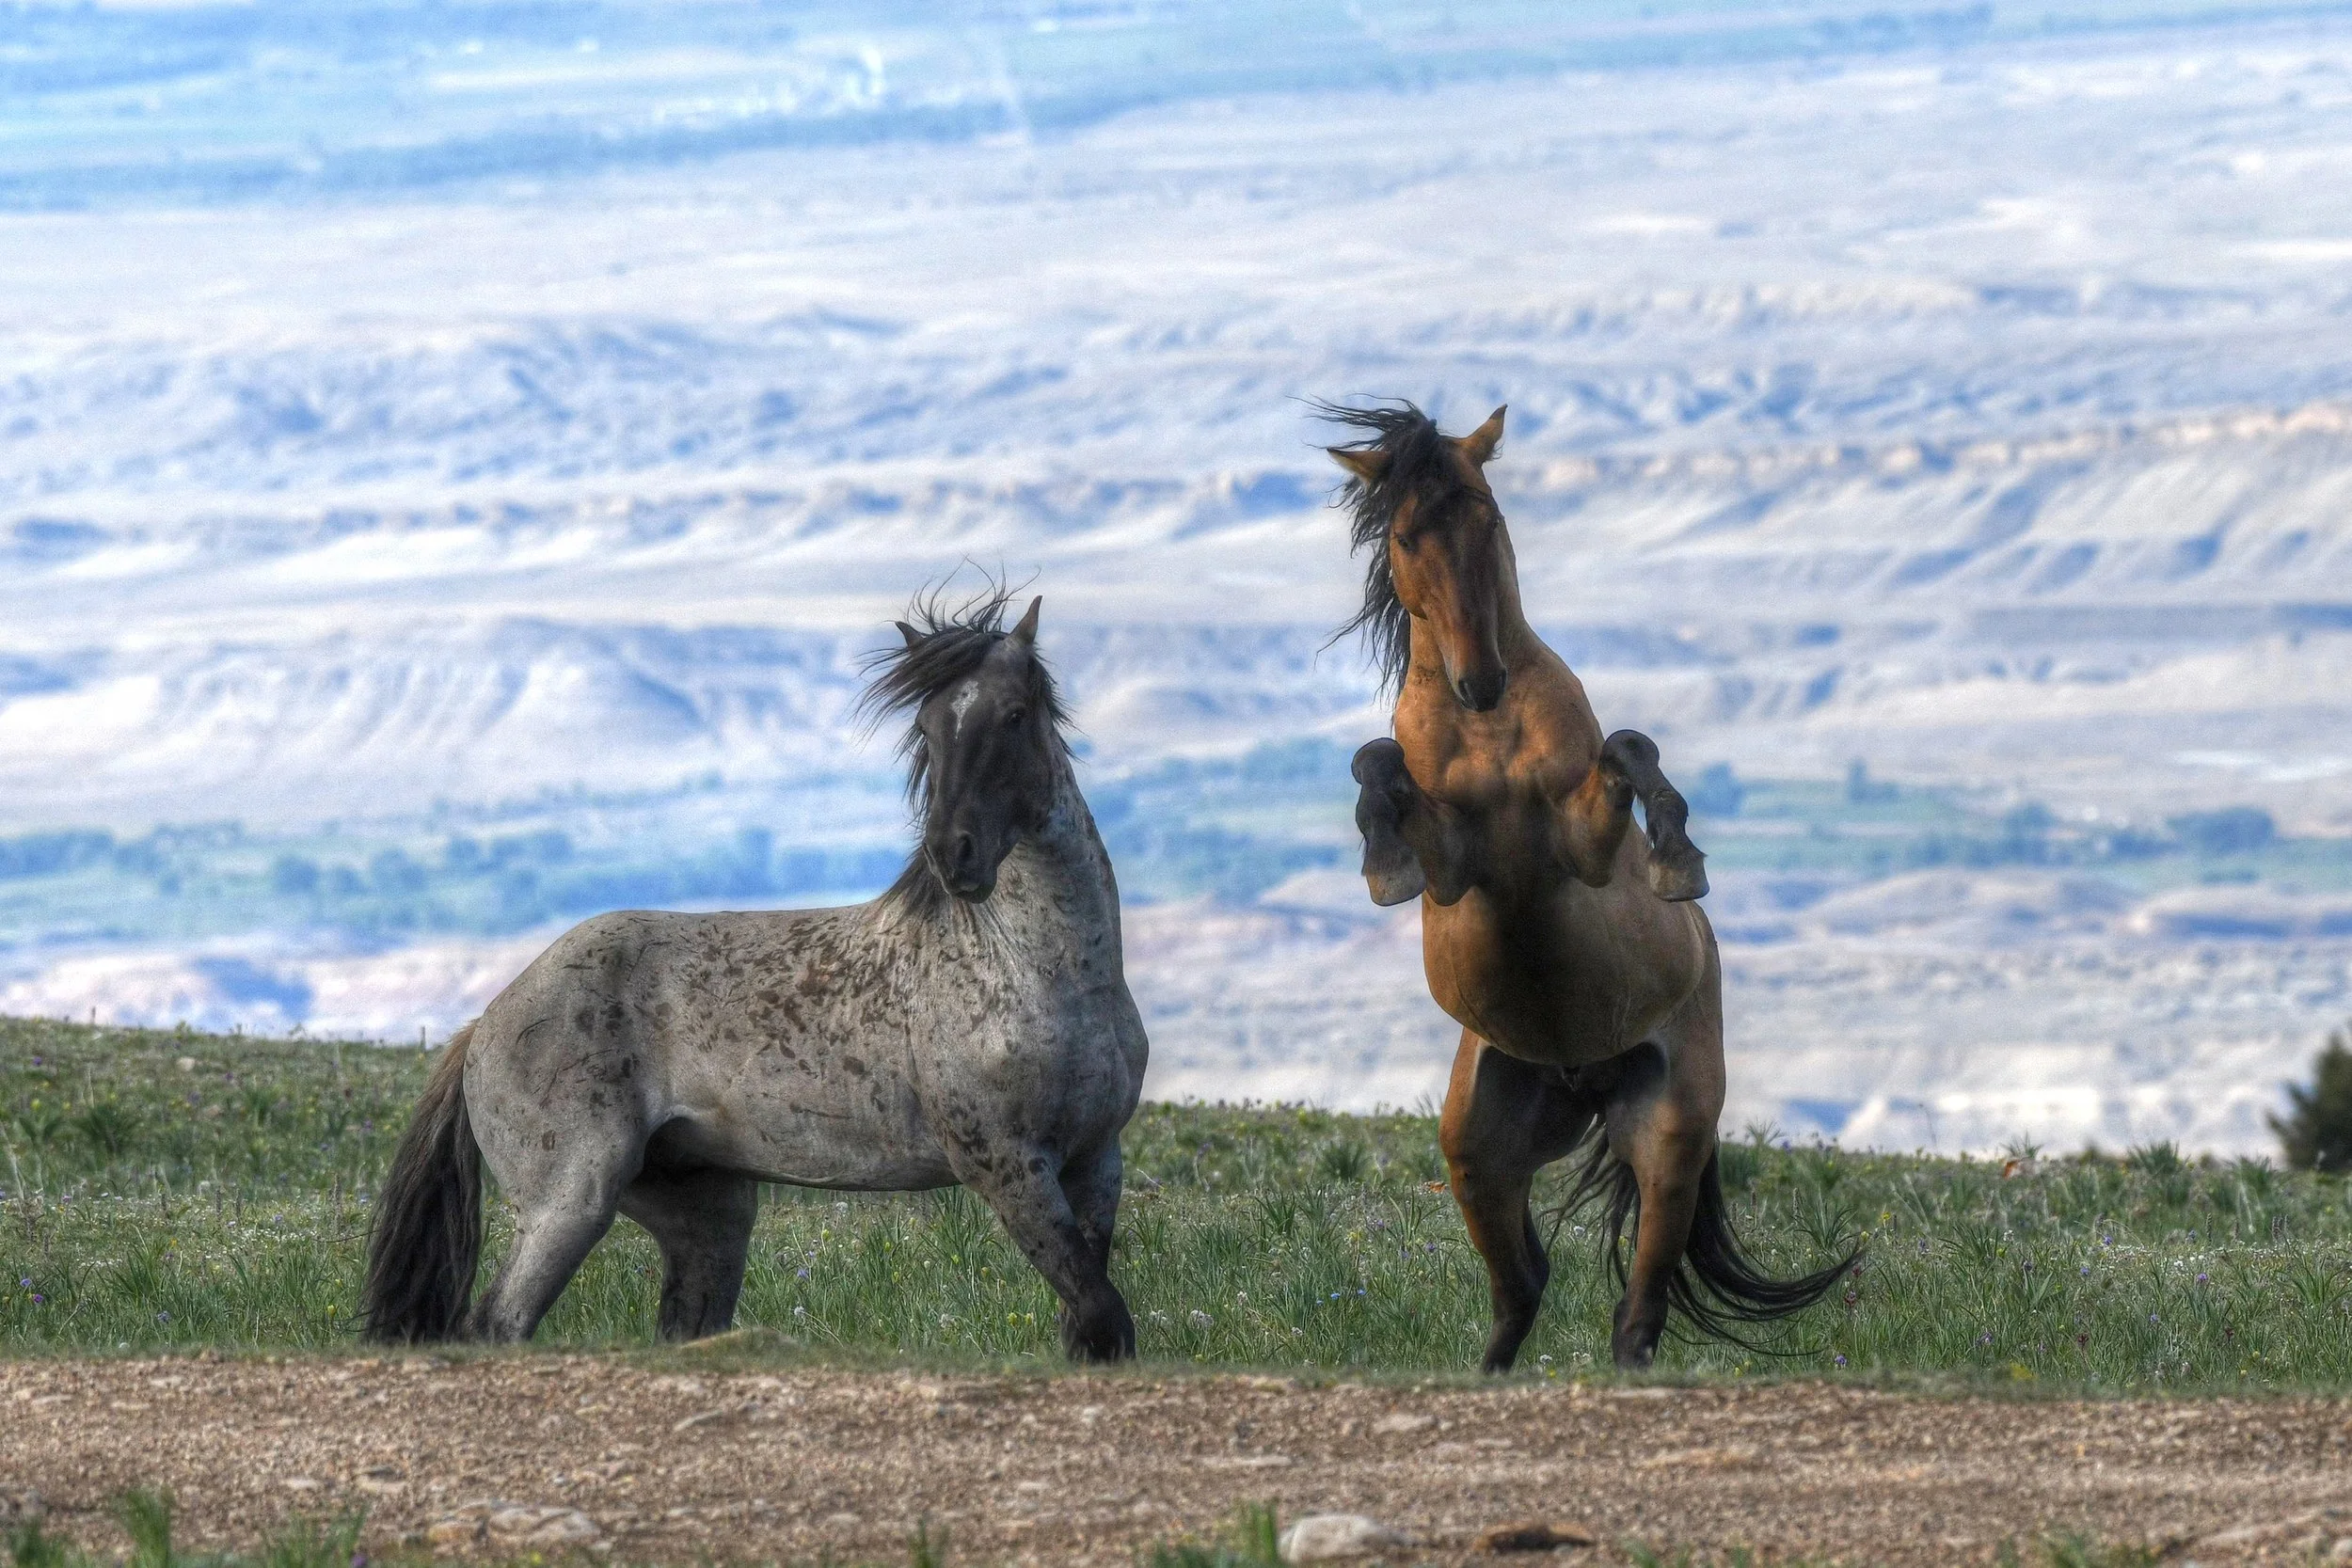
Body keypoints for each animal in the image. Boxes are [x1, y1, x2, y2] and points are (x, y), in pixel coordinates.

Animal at [361, 590, 1148, 1361]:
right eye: (927, 724)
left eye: (1014, 714)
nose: (955, 854)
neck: (1040, 975)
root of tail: (486, 1023)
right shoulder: (1008, 1166)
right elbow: (1102, 1310)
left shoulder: (1094, 1161)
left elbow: (1092, 1326)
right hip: (570, 1200)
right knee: (500, 1322)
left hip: (706, 1213)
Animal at [1322, 400, 1847, 1372]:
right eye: (1407, 536)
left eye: (1487, 516)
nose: (1480, 681)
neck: (1488, 740)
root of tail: (1584, 1078)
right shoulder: (1455, 871)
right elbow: (1377, 763)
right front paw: (1382, 859)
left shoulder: (1585, 849)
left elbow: (1629, 749)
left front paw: (1679, 856)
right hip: (1478, 1151)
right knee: (1521, 1286)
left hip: (1670, 1132)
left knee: (1636, 1314)